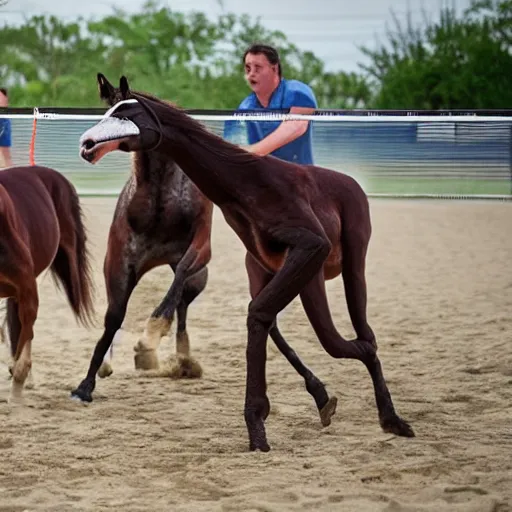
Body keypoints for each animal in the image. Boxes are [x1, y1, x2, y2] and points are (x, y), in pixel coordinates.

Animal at [76, 76, 414, 452]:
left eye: (126, 113)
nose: (86, 143)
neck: (249, 182)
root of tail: (351, 183)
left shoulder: (311, 246)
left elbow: (258, 314)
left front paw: (257, 426)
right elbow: (261, 317)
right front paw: (261, 423)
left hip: (349, 266)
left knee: (361, 338)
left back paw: (390, 417)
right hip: (282, 274)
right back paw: (331, 401)